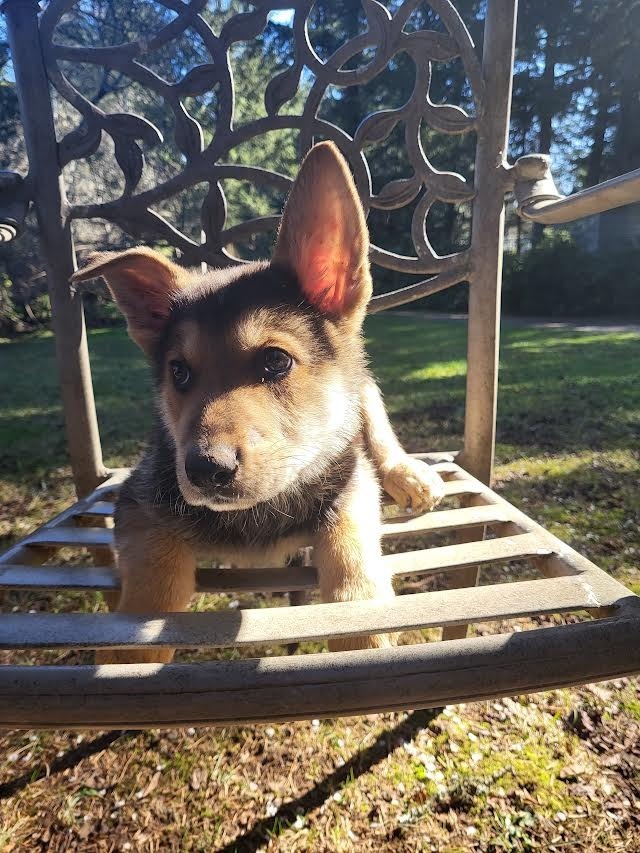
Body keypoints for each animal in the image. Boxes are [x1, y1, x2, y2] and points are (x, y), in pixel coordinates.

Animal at [69, 140, 440, 664]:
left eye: (276, 362)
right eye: (178, 372)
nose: (205, 470)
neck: (256, 514)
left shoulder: (350, 484)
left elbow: (351, 549)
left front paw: (364, 630)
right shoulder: (139, 503)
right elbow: (155, 583)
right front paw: (130, 657)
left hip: (362, 390)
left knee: (377, 432)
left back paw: (408, 473)